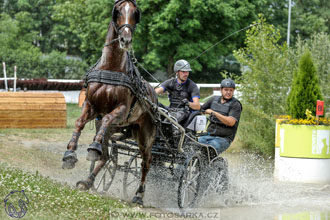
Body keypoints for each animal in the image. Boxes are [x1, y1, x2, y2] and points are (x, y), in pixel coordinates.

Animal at [62, 0, 157, 205]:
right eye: (118, 11)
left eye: (135, 13)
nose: (125, 39)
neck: (111, 67)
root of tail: (154, 98)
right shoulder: (91, 105)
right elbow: (79, 122)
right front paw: (70, 154)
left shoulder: (120, 110)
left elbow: (106, 118)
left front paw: (92, 147)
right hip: (114, 130)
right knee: (106, 157)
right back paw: (88, 181)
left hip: (145, 136)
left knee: (146, 162)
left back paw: (138, 195)